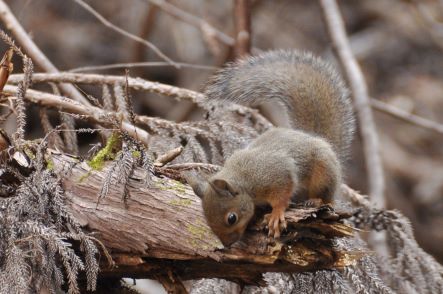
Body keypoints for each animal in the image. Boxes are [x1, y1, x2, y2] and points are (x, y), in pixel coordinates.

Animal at [183, 50, 354, 246]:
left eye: (231, 218)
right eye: (207, 220)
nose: (227, 245)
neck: (244, 181)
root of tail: (319, 139)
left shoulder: (276, 173)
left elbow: (282, 195)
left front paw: (276, 214)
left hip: (323, 173)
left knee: (329, 199)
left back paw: (316, 201)